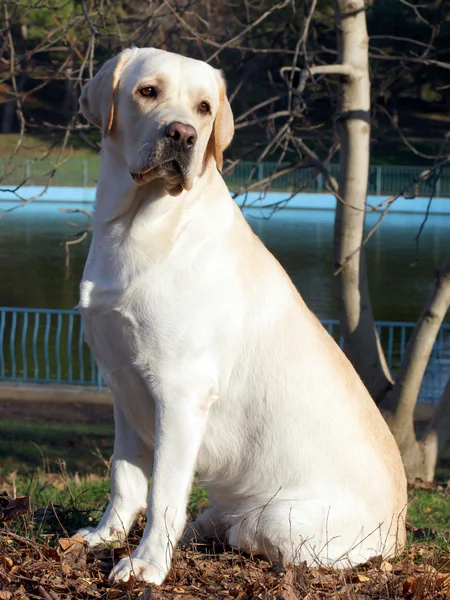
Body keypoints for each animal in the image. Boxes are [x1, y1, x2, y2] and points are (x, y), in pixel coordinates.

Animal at [77, 48, 408, 584]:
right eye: (148, 91)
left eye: (204, 108)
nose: (183, 135)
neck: (136, 227)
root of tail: (400, 534)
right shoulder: (122, 384)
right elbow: (123, 476)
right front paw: (105, 535)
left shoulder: (180, 392)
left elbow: (163, 490)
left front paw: (147, 564)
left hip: (276, 517)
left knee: (245, 529)